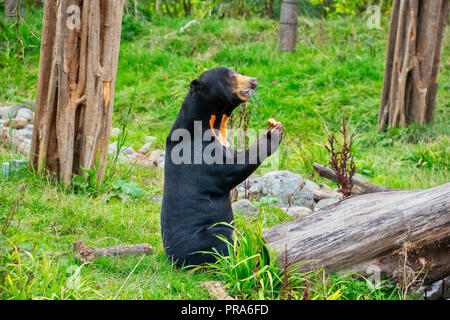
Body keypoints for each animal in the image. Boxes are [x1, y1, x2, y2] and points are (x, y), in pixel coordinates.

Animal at [160, 68, 284, 268]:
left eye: (237, 72)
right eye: (229, 77)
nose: (254, 80)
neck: (214, 123)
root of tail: (174, 259)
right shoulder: (198, 153)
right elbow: (231, 170)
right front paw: (273, 132)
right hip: (206, 235)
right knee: (222, 244)